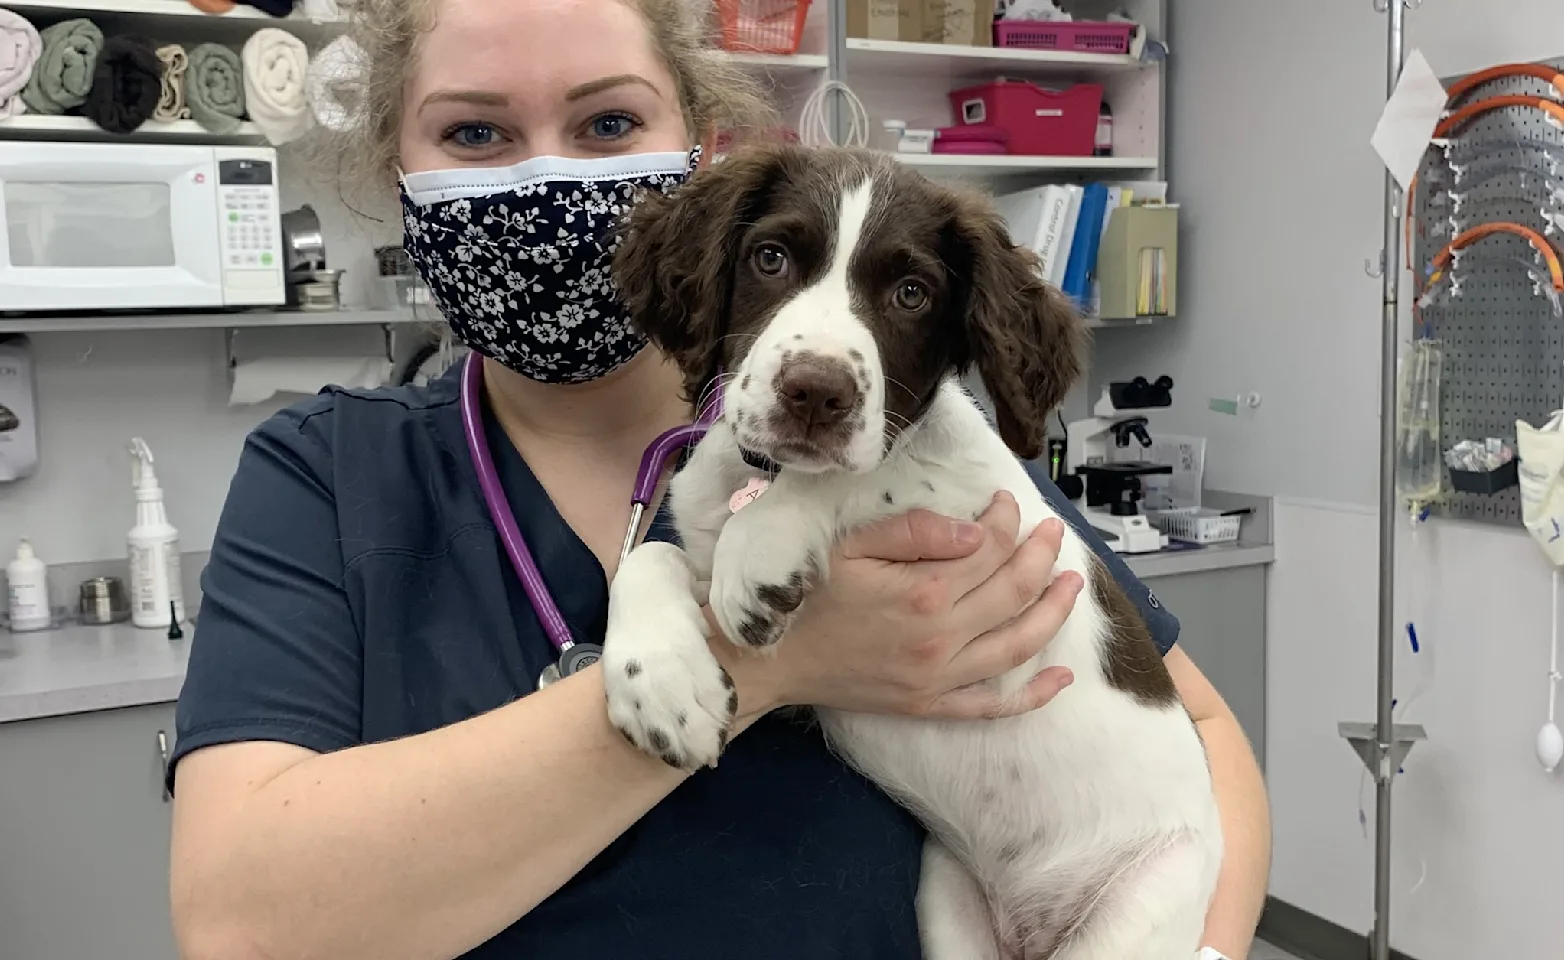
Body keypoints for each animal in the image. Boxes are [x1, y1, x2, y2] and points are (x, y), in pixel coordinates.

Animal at [597, 144, 1219, 960]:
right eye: (770, 257)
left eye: (912, 294)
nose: (815, 393)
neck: (762, 476)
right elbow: (648, 560)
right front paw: (660, 684)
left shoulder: (992, 513)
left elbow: (875, 469)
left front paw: (761, 543)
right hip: (948, 903)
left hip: (1142, 907)